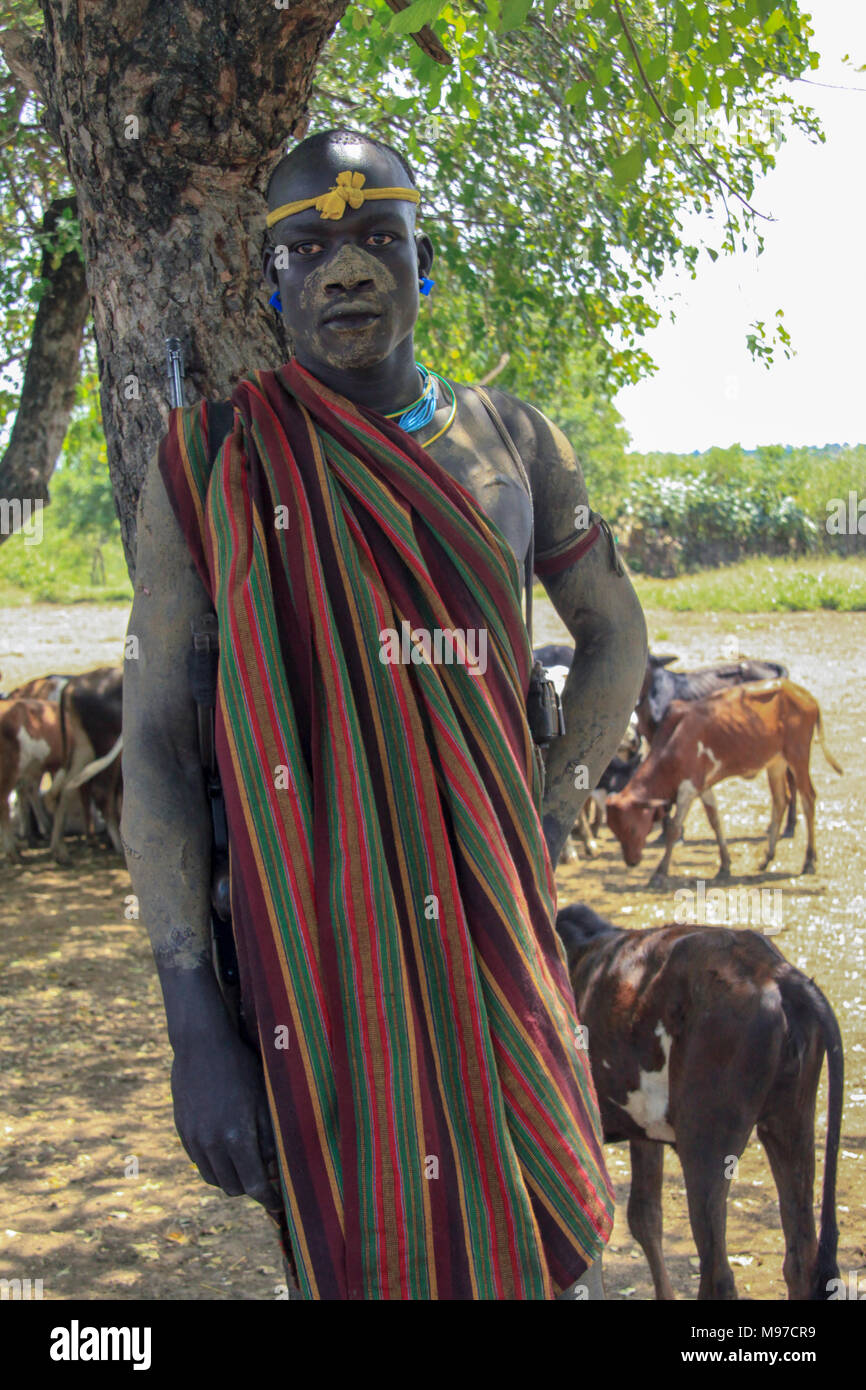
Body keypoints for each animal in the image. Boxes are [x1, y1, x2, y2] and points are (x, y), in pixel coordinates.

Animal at [558, 900, 845, 1301]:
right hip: (792, 1119)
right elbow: (644, 1216)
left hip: (705, 1141)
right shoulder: (643, 1131)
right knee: (800, 1258)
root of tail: (777, 973)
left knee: (718, 1275)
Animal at [606, 678, 845, 884]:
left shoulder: (688, 788)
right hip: (776, 762)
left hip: (798, 756)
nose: (631, 861)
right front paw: (724, 865)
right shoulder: (703, 786)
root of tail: (805, 695)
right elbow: (715, 822)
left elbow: (674, 828)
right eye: (615, 830)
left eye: (632, 829)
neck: (673, 740)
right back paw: (767, 858)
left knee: (808, 799)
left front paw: (660, 871)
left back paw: (809, 861)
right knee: (780, 801)